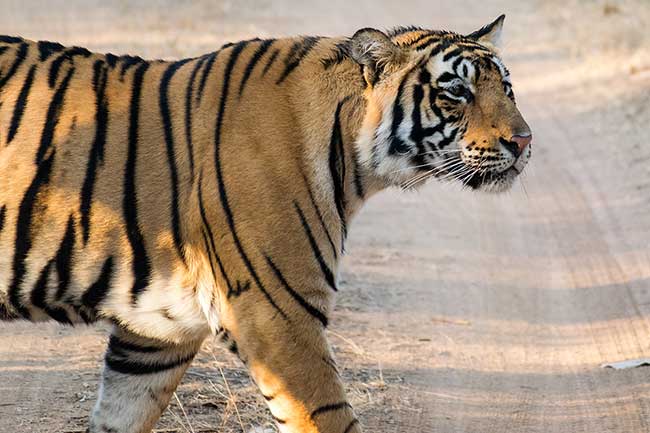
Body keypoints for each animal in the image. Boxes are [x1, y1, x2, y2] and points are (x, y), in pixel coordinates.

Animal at [0, 14, 528, 432]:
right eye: (456, 93)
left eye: (506, 87)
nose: (524, 141)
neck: (353, 161)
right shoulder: (279, 316)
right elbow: (330, 418)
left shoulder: (154, 334)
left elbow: (122, 414)